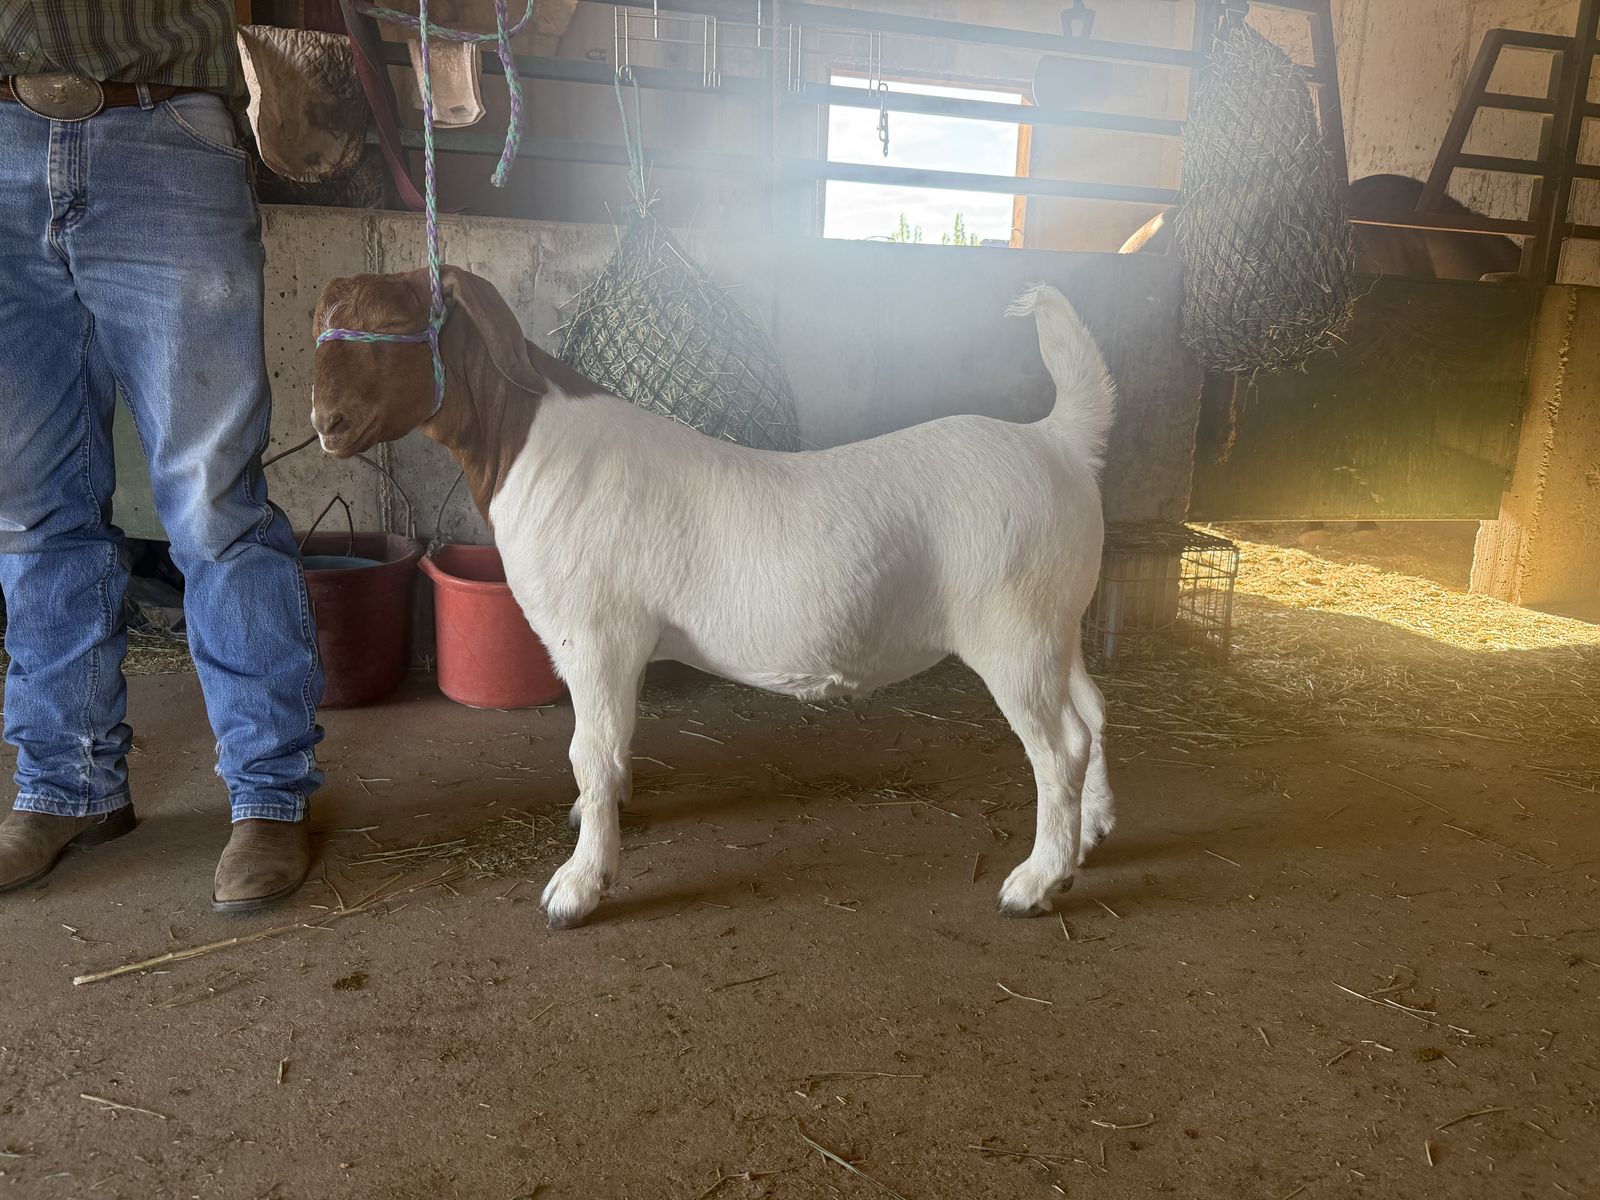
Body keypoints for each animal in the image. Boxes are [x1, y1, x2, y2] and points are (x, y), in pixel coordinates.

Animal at [310, 267, 1117, 929]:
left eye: (391, 326)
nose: (327, 426)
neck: (529, 448)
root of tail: (1058, 441)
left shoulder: (594, 636)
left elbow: (588, 751)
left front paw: (578, 887)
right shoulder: (621, 646)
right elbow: (613, 744)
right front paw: (599, 821)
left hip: (1012, 629)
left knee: (1060, 746)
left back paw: (1036, 882)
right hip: (1057, 620)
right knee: (1093, 711)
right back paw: (1093, 832)